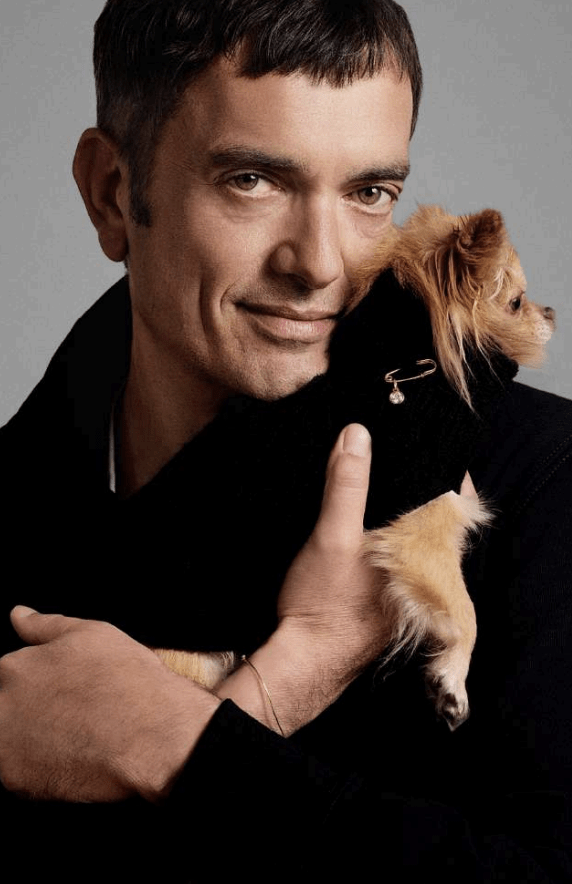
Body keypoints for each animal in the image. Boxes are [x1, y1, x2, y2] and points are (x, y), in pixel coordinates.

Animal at [154, 205, 555, 731]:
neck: (404, 372)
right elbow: (465, 612)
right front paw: (452, 679)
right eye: (516, 302)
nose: (551, 313)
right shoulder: (421, 531)